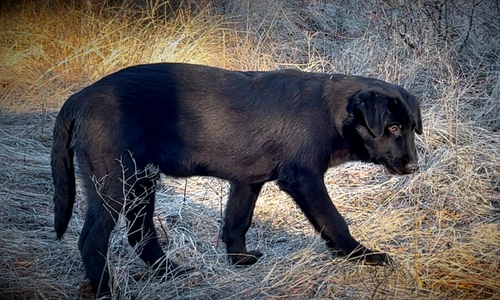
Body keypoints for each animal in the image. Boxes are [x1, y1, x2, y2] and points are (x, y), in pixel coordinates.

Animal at [52, 63, 422, 296]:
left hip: (142, 179)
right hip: (113, 180)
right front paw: (361, 256)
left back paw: (172, 272)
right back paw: (106, 290)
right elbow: (333, 220)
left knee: (140, 233)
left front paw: (239, 260)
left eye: (410, 127)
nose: (414, 167)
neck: (331, 112)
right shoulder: (303, 177)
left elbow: (237, 221)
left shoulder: (249, 179)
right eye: (392, 128)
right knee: (92, 239)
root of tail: (78, 99)